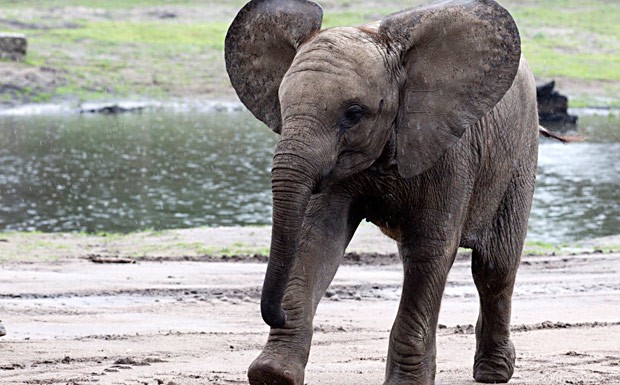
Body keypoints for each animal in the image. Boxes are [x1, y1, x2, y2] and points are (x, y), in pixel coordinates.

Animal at [226, 0, 544, 382]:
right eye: (282, 106)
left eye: (353, 114)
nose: (277, 313)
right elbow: (316, 237)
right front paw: (273, 375)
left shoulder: (451, 151)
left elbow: (431, 247)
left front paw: (407, 383)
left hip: (521, 152)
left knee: (494, 267)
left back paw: (493, 373)